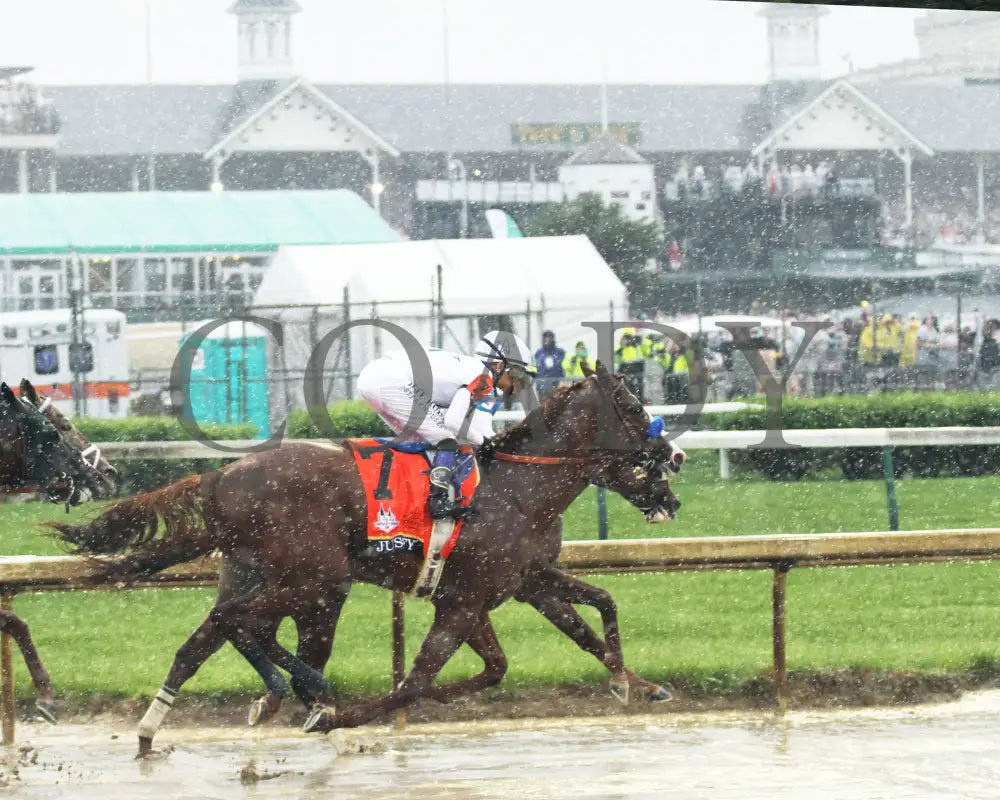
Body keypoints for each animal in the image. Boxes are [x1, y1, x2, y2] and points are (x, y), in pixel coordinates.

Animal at [52, 362, 680, 744]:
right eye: (630, 405)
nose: (673, 461)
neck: (521, 486)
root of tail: (220, 477)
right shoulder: (466, 600)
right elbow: (418, 681)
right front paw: (342, 717)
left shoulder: (512, 583)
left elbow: (587, 617)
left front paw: (637, 684)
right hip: (317, 578)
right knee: (241, 624)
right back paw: (303, 693)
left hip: (265, 575)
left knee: (207, 638)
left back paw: (159, 727)